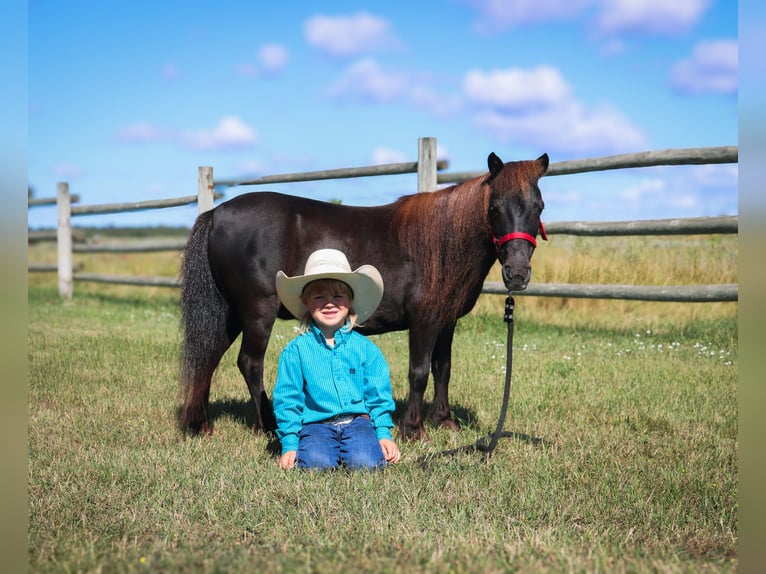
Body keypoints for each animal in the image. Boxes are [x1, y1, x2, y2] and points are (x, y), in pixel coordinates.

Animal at [177, 152, 548, 440]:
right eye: (495, 208)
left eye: (539, 207)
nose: (517, 273)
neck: (442, 243)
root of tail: (216, 214)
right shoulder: (424, 320)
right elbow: (419, 371)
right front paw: (414, 430)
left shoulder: (446, 320)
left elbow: (443, 368)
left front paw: (444, 422)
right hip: (257, 311)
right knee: (249, 363)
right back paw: (269, 426)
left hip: (230, 313)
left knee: (208, 357)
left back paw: (202, 425)